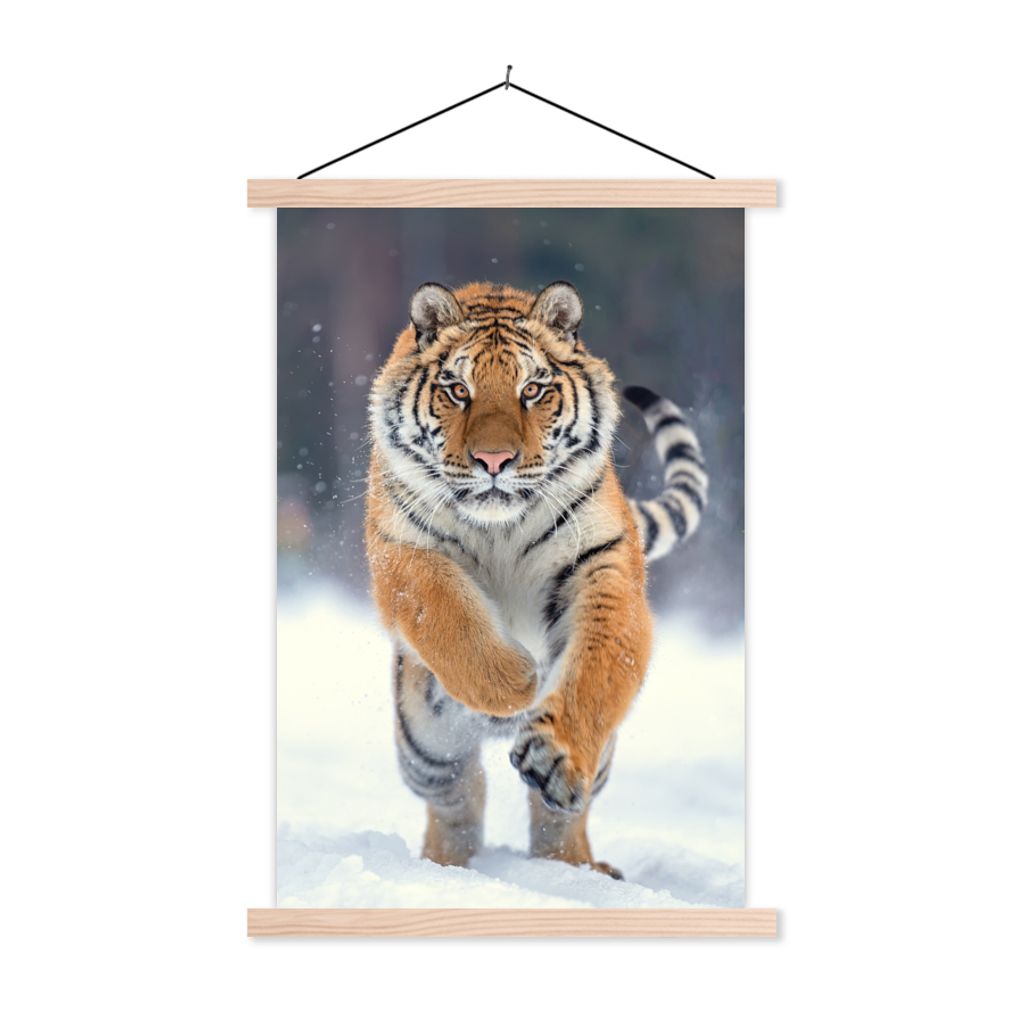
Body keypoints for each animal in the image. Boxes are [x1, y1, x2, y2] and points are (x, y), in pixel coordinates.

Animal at [365, 280, 708, 879]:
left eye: (532, 389)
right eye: (457, 389)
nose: (493, 460)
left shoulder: (602, 563)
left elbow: (598, 667)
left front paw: (555, 754)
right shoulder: (402, 550)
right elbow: (446, 614)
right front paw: (515, 682)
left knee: (558, 815)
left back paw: (576, 869)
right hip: (425, 746)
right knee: (459, 796)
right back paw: (445, 866)